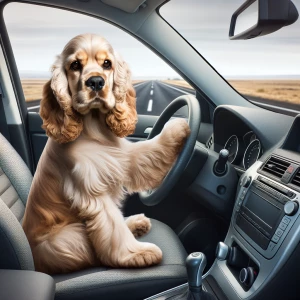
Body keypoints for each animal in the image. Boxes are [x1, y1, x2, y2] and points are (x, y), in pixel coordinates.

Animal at [21, 33, 190, 274]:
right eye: (75, 65)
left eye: (107, 63)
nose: (96, 82)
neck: (94, 127)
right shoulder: (91, 190)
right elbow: (111, 226)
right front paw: (137, 254)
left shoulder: (125, 157)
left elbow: (149, 152)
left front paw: (178, 126)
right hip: (65, 239)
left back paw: (136, 223)